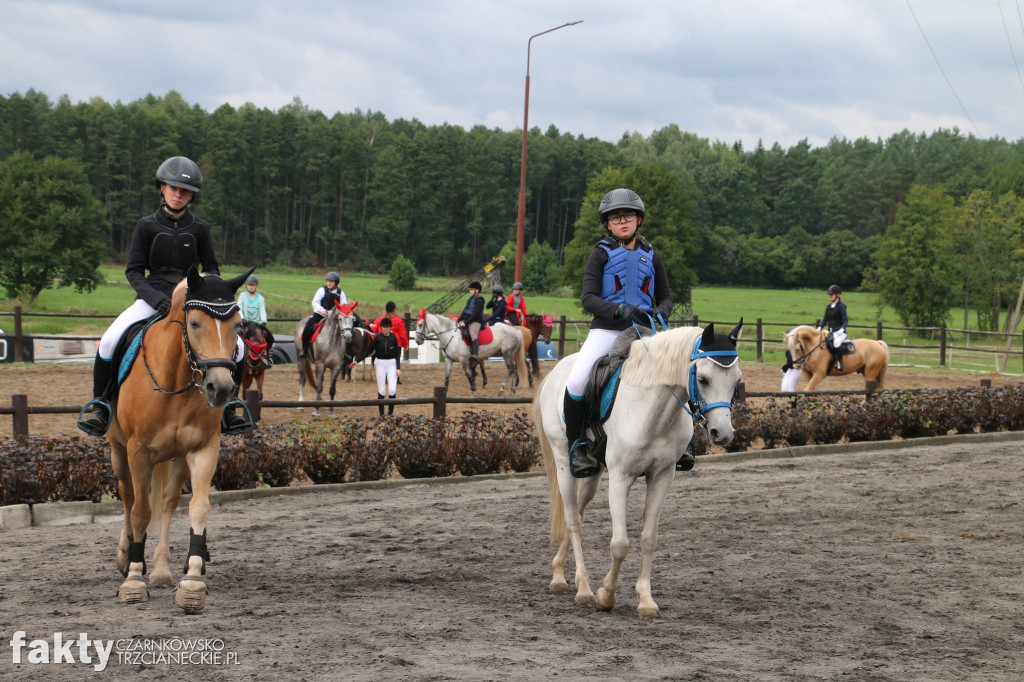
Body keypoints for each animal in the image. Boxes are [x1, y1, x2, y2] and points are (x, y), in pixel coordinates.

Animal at [108, 266, 253, 610]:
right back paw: (125, 557)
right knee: (128, 496)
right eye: (195, 323)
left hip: (176, 458)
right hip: (118, 450)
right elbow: (140, 512)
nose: (220, 388)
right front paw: (134, 579)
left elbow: (197, 508)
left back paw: (161, 569)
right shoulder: (137, 451)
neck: (176, 378)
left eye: (238, 325)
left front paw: (192, 581)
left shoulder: (201, 449)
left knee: (168, 500)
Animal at [532, 319, 741, 614]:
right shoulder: (621, 477)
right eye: (703, 379)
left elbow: (648, 538)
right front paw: (606, 595)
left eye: (737, 380)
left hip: (594, 474)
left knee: (578, 513)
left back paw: (559, 574)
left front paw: (645, 599)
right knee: (573, 519)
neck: (654, 410)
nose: (722, 433)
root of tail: (556, 371)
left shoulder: (662, 476)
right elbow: (620, 544)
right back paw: (582, 588)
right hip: (564, 463)